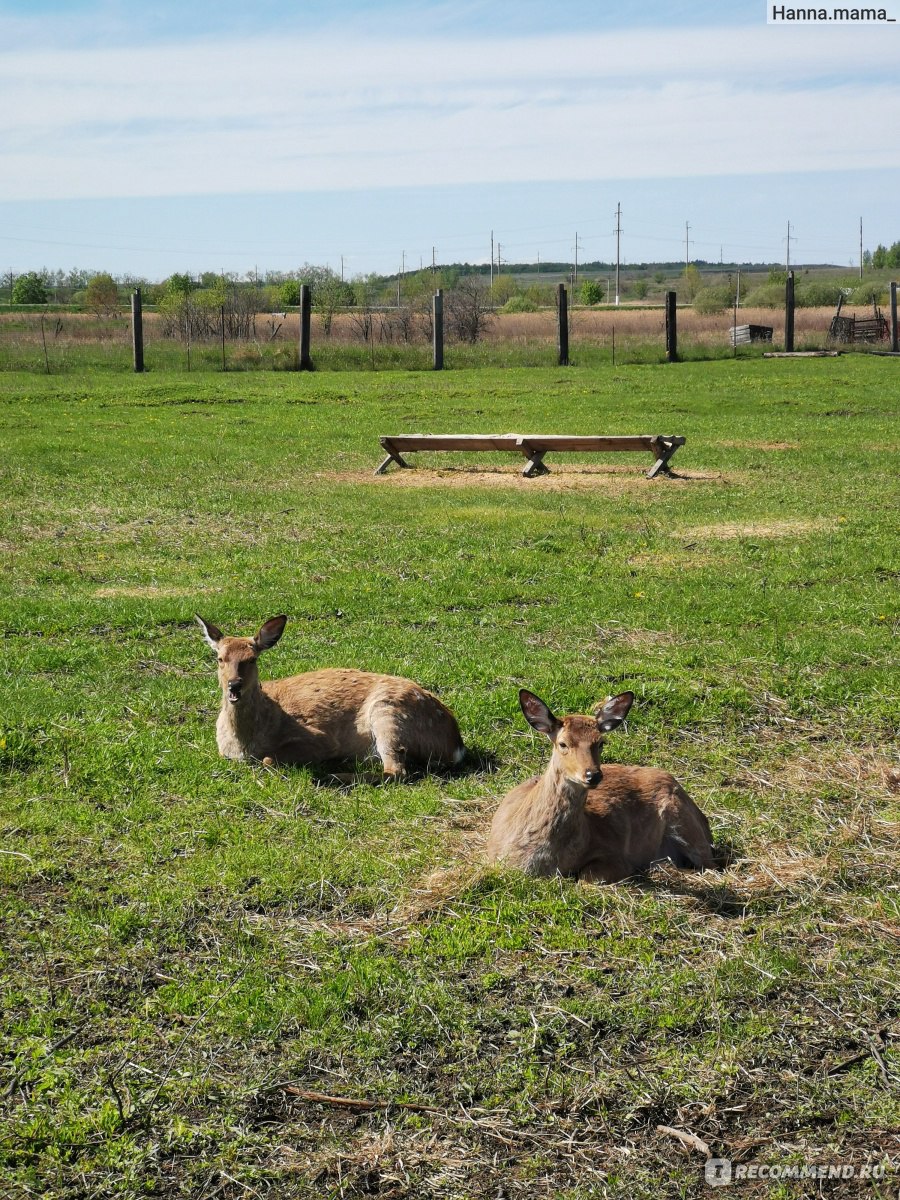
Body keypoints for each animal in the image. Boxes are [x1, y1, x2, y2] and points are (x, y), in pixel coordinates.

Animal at [196, 619, 465, 777]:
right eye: (219, 658)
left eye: (252, 659)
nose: (234, 685)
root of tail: (456, 746)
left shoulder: (320, 739)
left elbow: (268, 759)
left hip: (388, 714)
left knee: (395, 771)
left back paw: (341, 773)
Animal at [489, 696, 715, 883]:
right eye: (563, 743)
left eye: (601, 743)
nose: (593, 775)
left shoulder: (615, 854)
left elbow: (587, 878)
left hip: (686, 823)